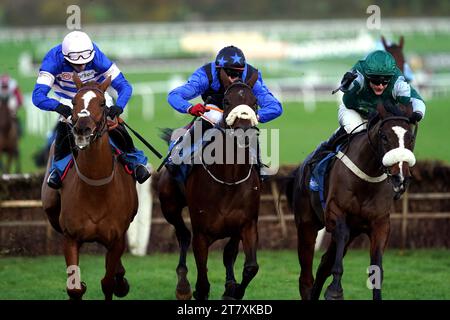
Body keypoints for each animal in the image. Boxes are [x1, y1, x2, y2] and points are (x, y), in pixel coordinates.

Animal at [42, 73, 137, 300]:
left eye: (102, 103)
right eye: (74, 102)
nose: (82, 129)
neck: (96, 190)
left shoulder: (116, 238)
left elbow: (108, 283)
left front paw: (119, 282)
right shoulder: (70, 237)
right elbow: (74, 288)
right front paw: (81, 285)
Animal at [157, 69, 260, 300]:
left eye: (255, 102)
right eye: (227, 101)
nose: (244, 133)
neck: (229, 180)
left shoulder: (247, 224)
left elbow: (249, 266)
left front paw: (233, 291)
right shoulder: (202, 233)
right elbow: (203, 283)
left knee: (228, 253)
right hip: (170, 207)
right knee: (183, 235)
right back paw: (183, 286)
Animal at [286, 100, 416, 300]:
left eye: (410, 138)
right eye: (384, 137)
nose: (400, 177)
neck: (367, 179)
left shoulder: (380, 223)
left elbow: (376, 268)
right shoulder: (336, 213)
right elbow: (339, 246)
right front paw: (334, 290)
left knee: (324, 263)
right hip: (306, 224)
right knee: (306, 276)